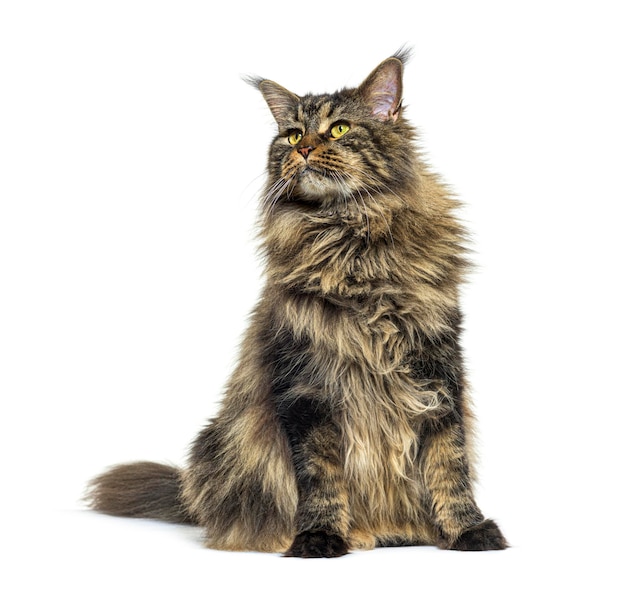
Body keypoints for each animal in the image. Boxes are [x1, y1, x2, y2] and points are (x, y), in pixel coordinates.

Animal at [86, 48, 508, 556]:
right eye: (290, 134)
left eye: (339, 128)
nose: (302, 149)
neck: (350, 244)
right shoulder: (305, 383)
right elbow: (320, 474)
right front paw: (319, 536)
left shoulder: (438, 369)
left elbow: (450, 464)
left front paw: (469, 530)